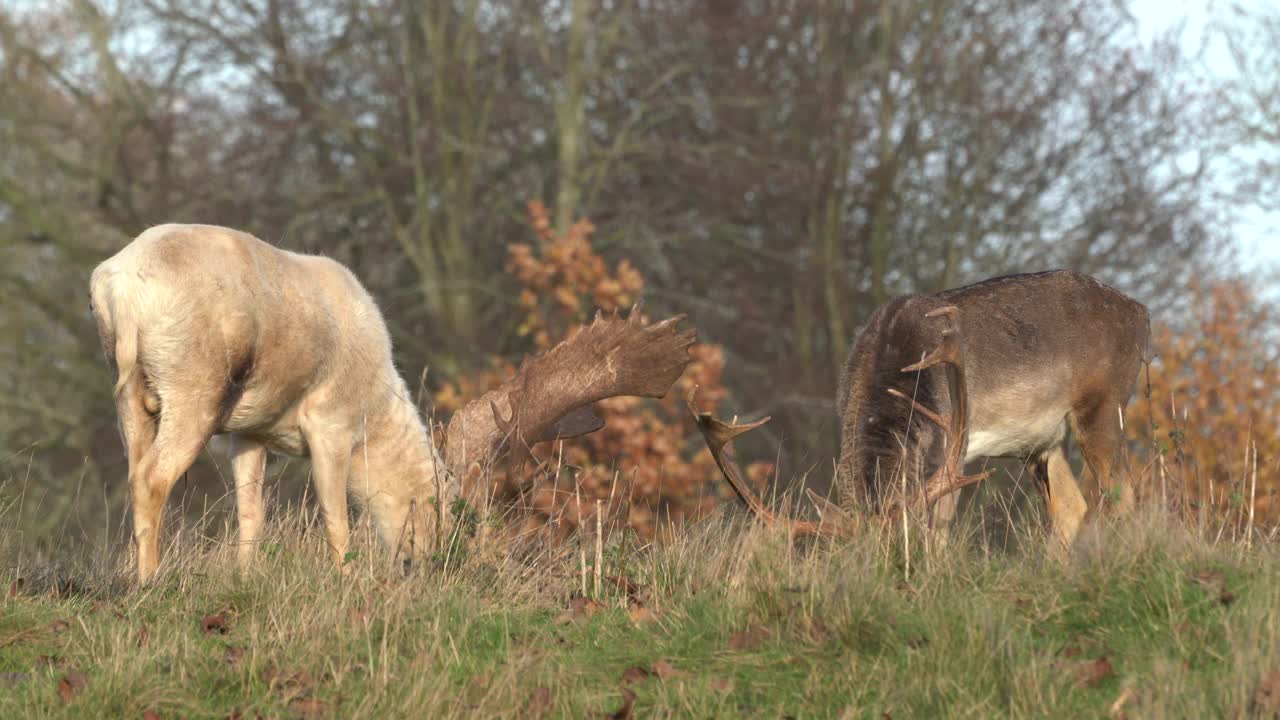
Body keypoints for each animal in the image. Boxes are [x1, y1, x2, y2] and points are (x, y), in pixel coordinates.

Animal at [91, 221, 696, 579]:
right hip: (194, 385)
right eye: (455, 519)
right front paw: (344, 579)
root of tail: (117, 285)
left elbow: (250, 512)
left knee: (134, 469)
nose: (450, 568)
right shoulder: (330, 423)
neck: (377, 410)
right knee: (152, 477)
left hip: (130, 395)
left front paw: (246, 578)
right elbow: (337, 517)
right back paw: (151, 581)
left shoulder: (249, 431)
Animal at [691, 267, 1152, 543]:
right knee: (1072, 508)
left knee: (1124, 493)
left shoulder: (951, 448)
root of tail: (1142, 314)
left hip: (1103, 404)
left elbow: (941, 528)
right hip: (1043, 441)